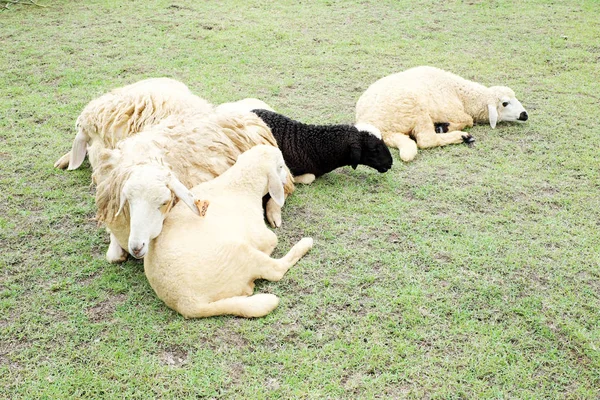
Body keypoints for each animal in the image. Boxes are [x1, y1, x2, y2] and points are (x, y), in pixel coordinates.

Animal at [93, 111, 296, 264]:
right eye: (127, 200)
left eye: (164, 202)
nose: (137, 247)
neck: (145, 156)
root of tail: (250, 115)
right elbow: (113, 256)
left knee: (284, 186)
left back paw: (274, 213)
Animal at [145, 145, 314, 318]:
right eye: (280, 166)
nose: (287, 177)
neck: (240, 184)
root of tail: (187, 303)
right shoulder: (261, 234)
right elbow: (273, 239)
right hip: (241, 252)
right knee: (276, 270)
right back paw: (305, 243)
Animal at [354, 65, 528, 162]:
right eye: (505, 103)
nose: (524, 114)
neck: (461, 95)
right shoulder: (449, 110)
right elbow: (468, 120)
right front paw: (444, 127)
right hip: (416, 110)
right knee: (425, 140)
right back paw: (462, 136)